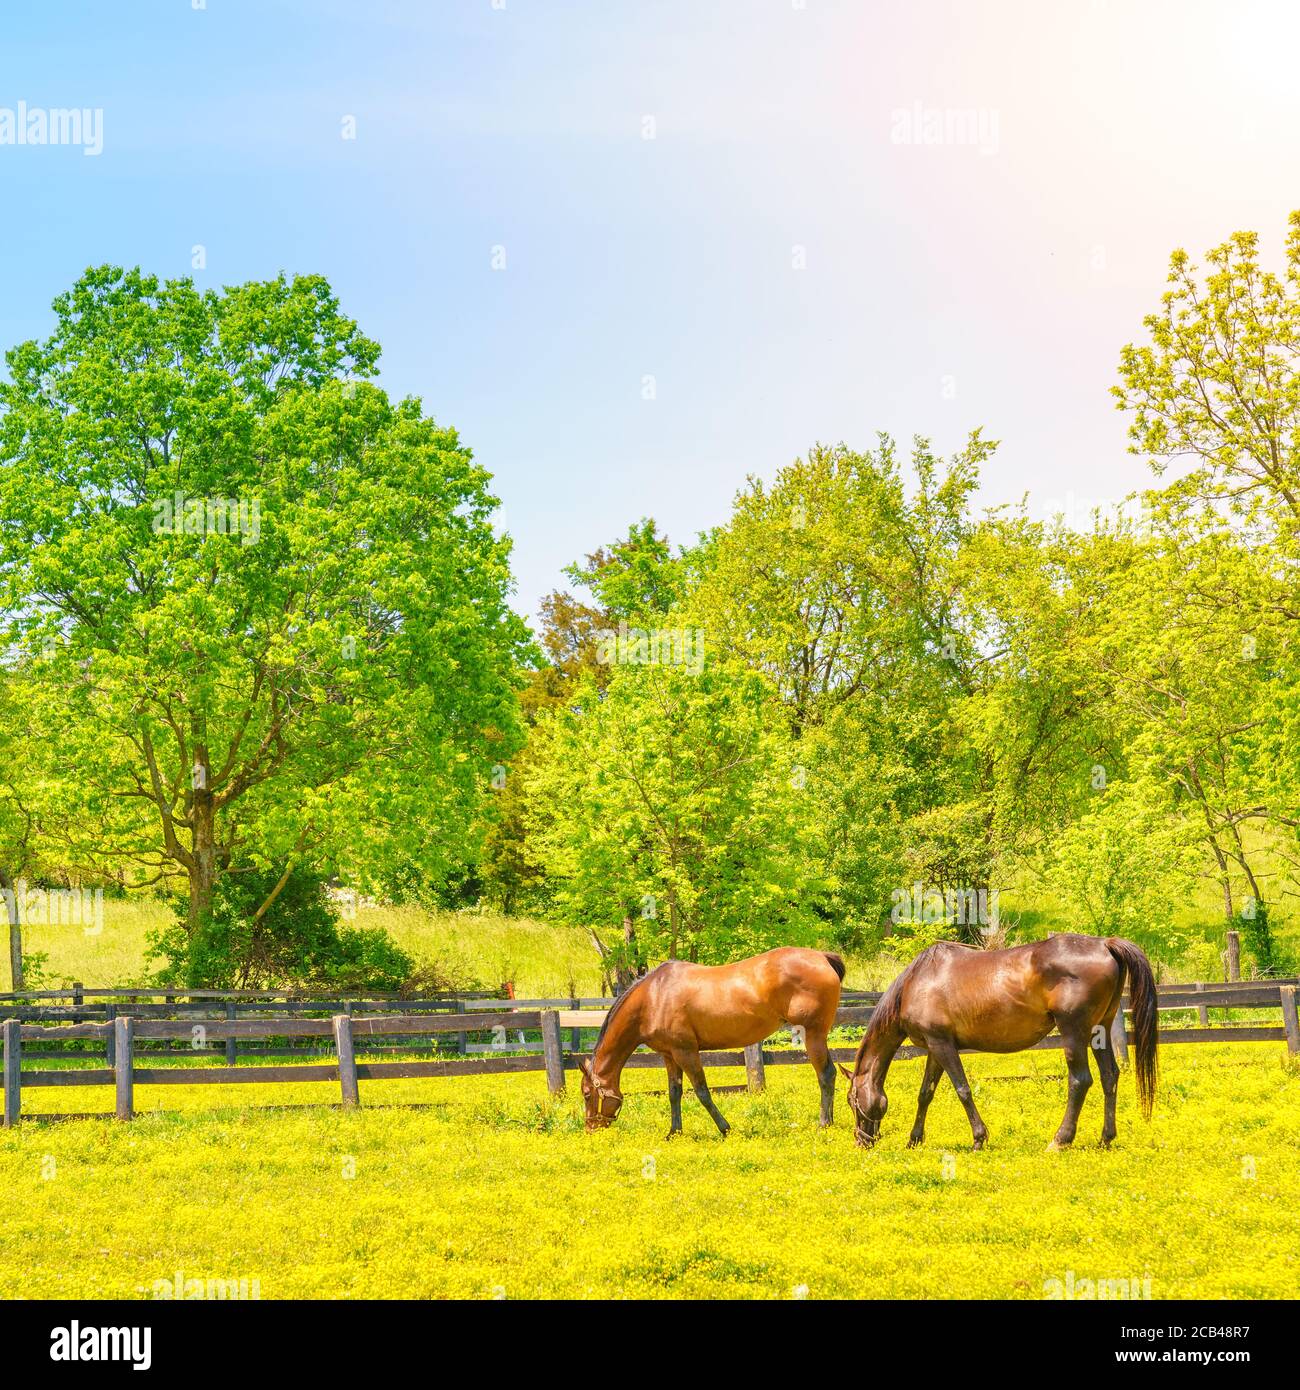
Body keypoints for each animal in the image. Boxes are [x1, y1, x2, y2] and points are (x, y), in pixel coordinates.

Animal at [577, 947, 845, 1136]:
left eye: (587, 1094)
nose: (590, 1129)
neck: (654, 996)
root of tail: (822, 957)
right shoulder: (669, 1055)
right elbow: (674, 1092)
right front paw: (674, 1132)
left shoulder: (686, 1052)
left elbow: (702, 1092)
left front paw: (725, 1128)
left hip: (813, 1035)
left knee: (826, 1074)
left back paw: (824, 1124)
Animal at [840, 934, 1158, 1152]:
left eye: (852, 1100)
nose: (861, 1142)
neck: (915, 983)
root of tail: (1105, 944)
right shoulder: (935, 1047)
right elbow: (925, 1094)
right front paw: (914, 1140)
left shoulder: (942, 1046)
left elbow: (962, 1090)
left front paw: (979, 1139)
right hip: (1098, 1031)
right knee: (1109, 1077)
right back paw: (1106, 1138)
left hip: (1074, 1033)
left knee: (1080, 1081)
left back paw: (1060, 1140)